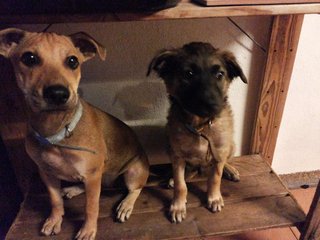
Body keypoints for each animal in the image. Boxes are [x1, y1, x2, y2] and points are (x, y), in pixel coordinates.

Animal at [0, 28, 150, 240]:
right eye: (29, 58)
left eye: (73, 61)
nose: (57, 94)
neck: (56, 131)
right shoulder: (46, 173)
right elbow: (55, 201)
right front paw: (54, 220)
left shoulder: (92, 175)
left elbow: (91, 207)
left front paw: (87, 230)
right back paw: (72, 189)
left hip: (132, 172)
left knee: (135, 189)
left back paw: (126, 205)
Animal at [148, 41, 248, 223]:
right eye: (189, 73)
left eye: (220, 74)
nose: (212, 105)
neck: (200, 125)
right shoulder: (177, 155)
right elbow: (181, 185)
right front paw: (178, 205)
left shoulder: (219, 151)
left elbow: (215, 178)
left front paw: (214, 198)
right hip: (169, 146)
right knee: (187, 172)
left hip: (231, 145)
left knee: (224, 161)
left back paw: (230, 170)